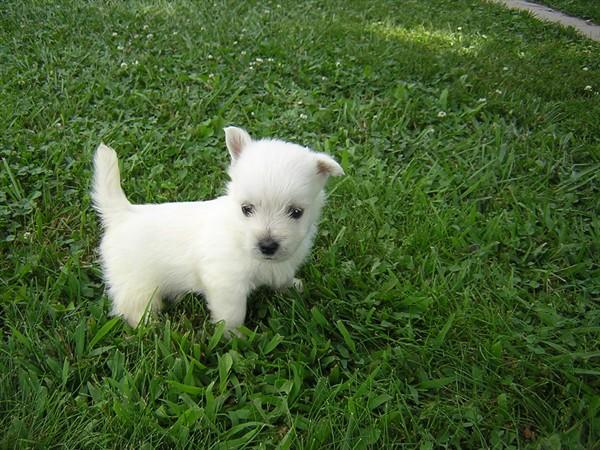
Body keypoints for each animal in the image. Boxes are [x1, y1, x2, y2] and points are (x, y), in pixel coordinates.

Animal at [89, 126, 342, 330]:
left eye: (296, 212)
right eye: (246, 209)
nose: (268, 246)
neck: (237, 232)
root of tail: (122, 213)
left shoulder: (280, 265)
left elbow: (282, 278)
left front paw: (293, 286)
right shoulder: (226, 284)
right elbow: (232, 315)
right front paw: (235, 338)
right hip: (136, 285)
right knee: (134, 308)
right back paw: (150, 328)